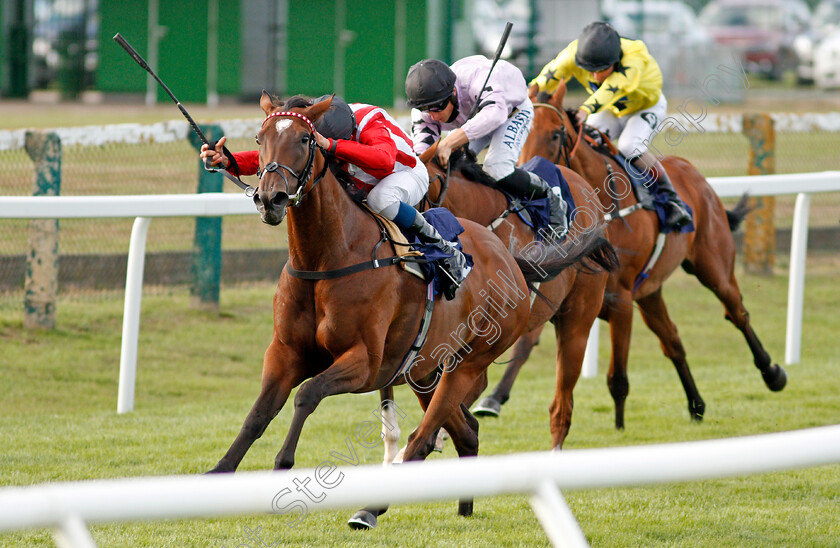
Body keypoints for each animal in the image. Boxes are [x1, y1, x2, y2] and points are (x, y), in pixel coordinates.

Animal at [208, 92, 616, 524]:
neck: (327, 257)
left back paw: (371, 510)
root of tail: (511, 261)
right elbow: (259, 412)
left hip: (471, 362)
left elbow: (307, 394)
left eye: (304, 139)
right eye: (259, 137)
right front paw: (218, 473)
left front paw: (283, 463)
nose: (271, 198)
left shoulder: (365, 362)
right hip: (427, 370)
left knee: (426, 436)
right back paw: (464, 506)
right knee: (466, 430)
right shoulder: (285, 352)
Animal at [512, 82, 788, 432]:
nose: (528, 177)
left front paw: (619, 430)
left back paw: (772, 373)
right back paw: (696, 405)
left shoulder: (619, 301)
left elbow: (617, 378)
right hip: (650, 293)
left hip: (714, 268)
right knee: (673, 340)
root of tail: (692, 172)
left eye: (556, 133)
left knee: (737, 312)